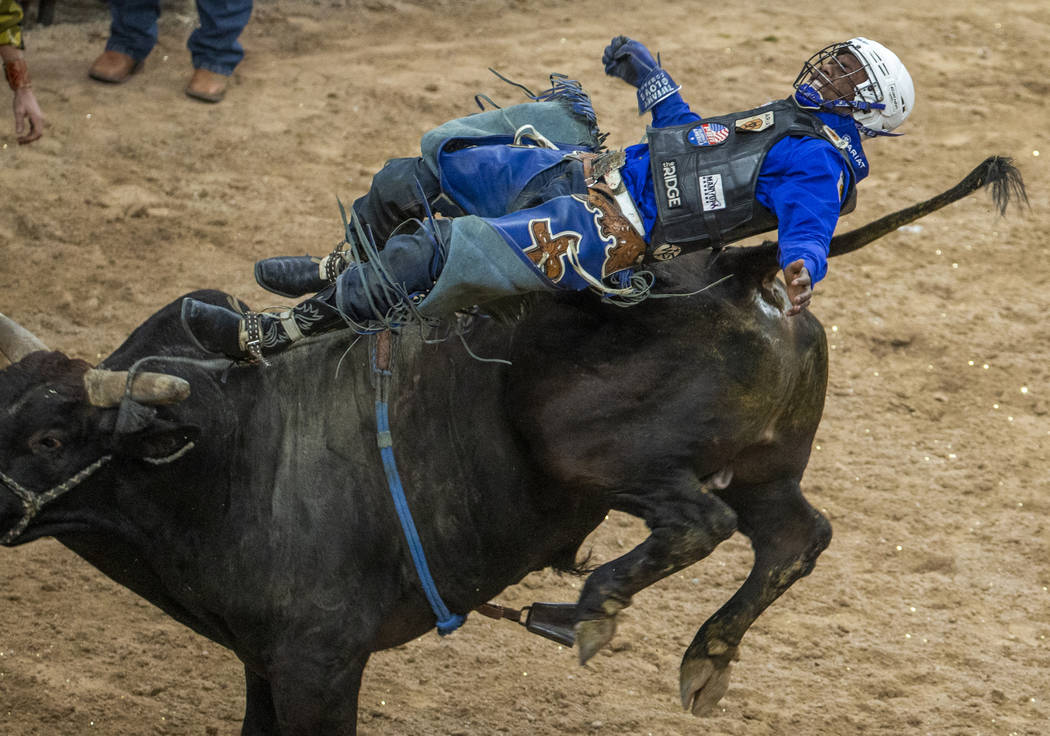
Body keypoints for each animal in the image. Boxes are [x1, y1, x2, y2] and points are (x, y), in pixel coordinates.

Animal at [0, 157, 1020, 730]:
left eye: (51, 436)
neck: (240, 456)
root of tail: (752, 267)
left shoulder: (318, 668)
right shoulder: (265, 664)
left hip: (592, 447)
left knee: (702, 523)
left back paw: (591, 608)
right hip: (767, 463)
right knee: (792, 536)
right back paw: (704, 656)